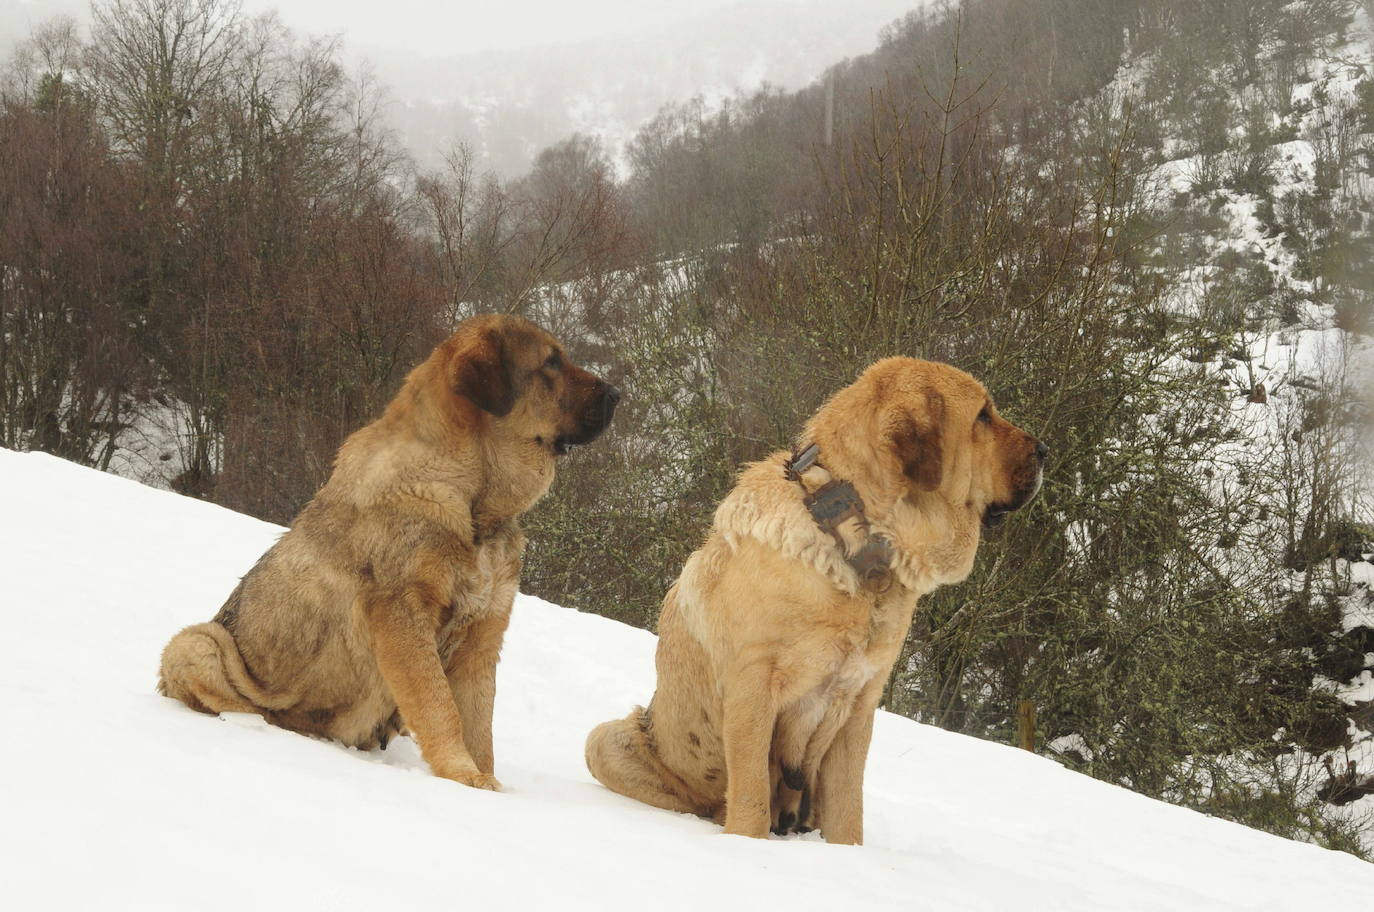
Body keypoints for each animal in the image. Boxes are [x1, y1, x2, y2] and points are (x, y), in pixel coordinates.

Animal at [158, 313, 621, 791]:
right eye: (551, 362)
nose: (617, 394)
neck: (471, 500)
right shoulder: (404, 614)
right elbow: (440, 707)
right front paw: (462, 774)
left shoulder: (483, 634)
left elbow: (478, 725)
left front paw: (484, 780)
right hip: (197, 642)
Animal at [582, 357, 1038, 840]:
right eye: (982, 416)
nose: (1045, 450)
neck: (854, 540)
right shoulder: (752, 690)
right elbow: (750, 795)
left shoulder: (858, 707)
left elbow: (847, 810)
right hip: (606, 741)